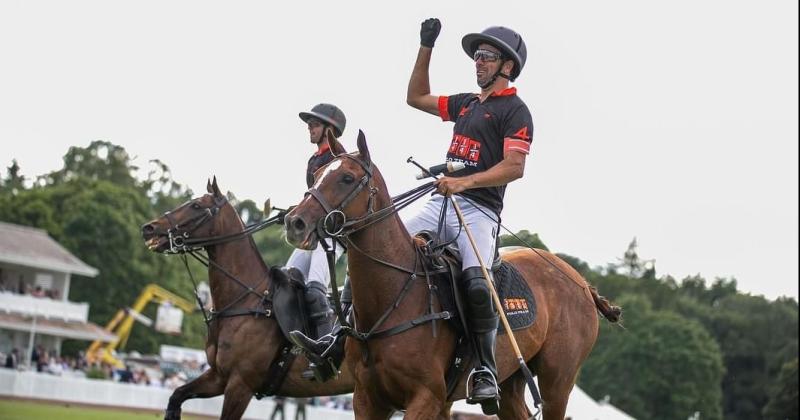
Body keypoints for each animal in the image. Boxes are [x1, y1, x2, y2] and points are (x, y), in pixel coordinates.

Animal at [141, 177, 354, 420]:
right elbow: (176, 395)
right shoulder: (218, 376)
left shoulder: (241, 384)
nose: (149, 228)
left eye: (196, 205)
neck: (246, 302)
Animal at [284, 132, 620, 420]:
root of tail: (583, 284)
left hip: (557, 382)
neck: (396, 293)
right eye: (316, 175)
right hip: (511, 383)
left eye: (347, 178)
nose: (295, 223)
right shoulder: (367, 397)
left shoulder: (427, 396)